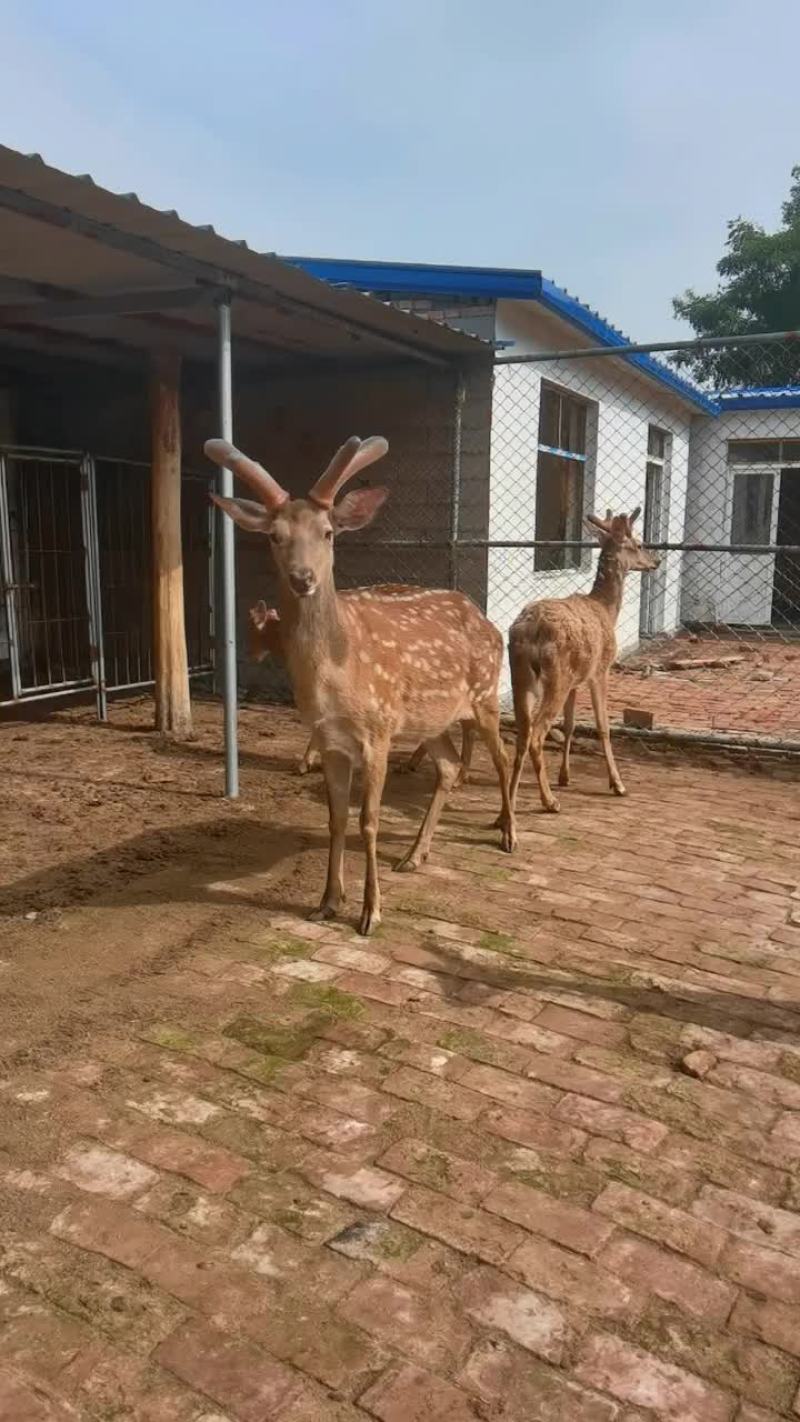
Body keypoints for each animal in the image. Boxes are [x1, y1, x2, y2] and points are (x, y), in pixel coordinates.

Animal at [505, 507, 660, 816]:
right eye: (638, 544)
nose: (656, 561)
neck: (606, 609)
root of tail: (529, 630)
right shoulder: (600, 670)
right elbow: (603, 726)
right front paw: (617, 784)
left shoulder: (577, 681)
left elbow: (571, 724)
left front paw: (565, 777)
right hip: (556, 676)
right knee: (537, 733)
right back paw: (549, 801)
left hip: (521, 674)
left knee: (523, 732)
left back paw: (509, 808)